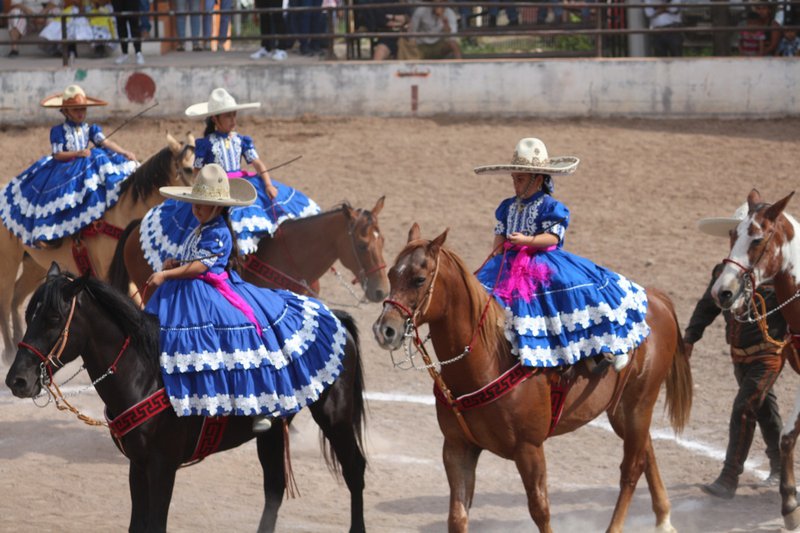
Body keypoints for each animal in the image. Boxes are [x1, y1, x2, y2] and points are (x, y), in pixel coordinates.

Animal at [0, 133, 194, 362]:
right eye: (189, 168)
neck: (121, 214)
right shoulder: (109, 273)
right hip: (8, 262)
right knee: (5, 299)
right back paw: (9, 351)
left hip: (34, 266)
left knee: (16, 298)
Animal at [4, 262, 368, 532]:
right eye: (29, 314)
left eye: (53, 318)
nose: (17, 380)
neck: (146, 374)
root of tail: (336, 317)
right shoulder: (138, 465)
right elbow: (138, 526)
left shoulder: (163, 467)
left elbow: (156, 525)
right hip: (273, 432)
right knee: (275, 488)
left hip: (334, 416)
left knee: (355, 470)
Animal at [372, 224, 692, 532]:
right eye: (391, 273)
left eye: (419, 279)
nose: (384, 330)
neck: (488, 360)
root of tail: (656, 299)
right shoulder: (456, 448)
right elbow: (457, 517)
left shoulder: (530, 450)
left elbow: (540, 510)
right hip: (622, 410)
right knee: (646, 452)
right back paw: (664, 520)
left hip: (640, 403)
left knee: (631, 469)